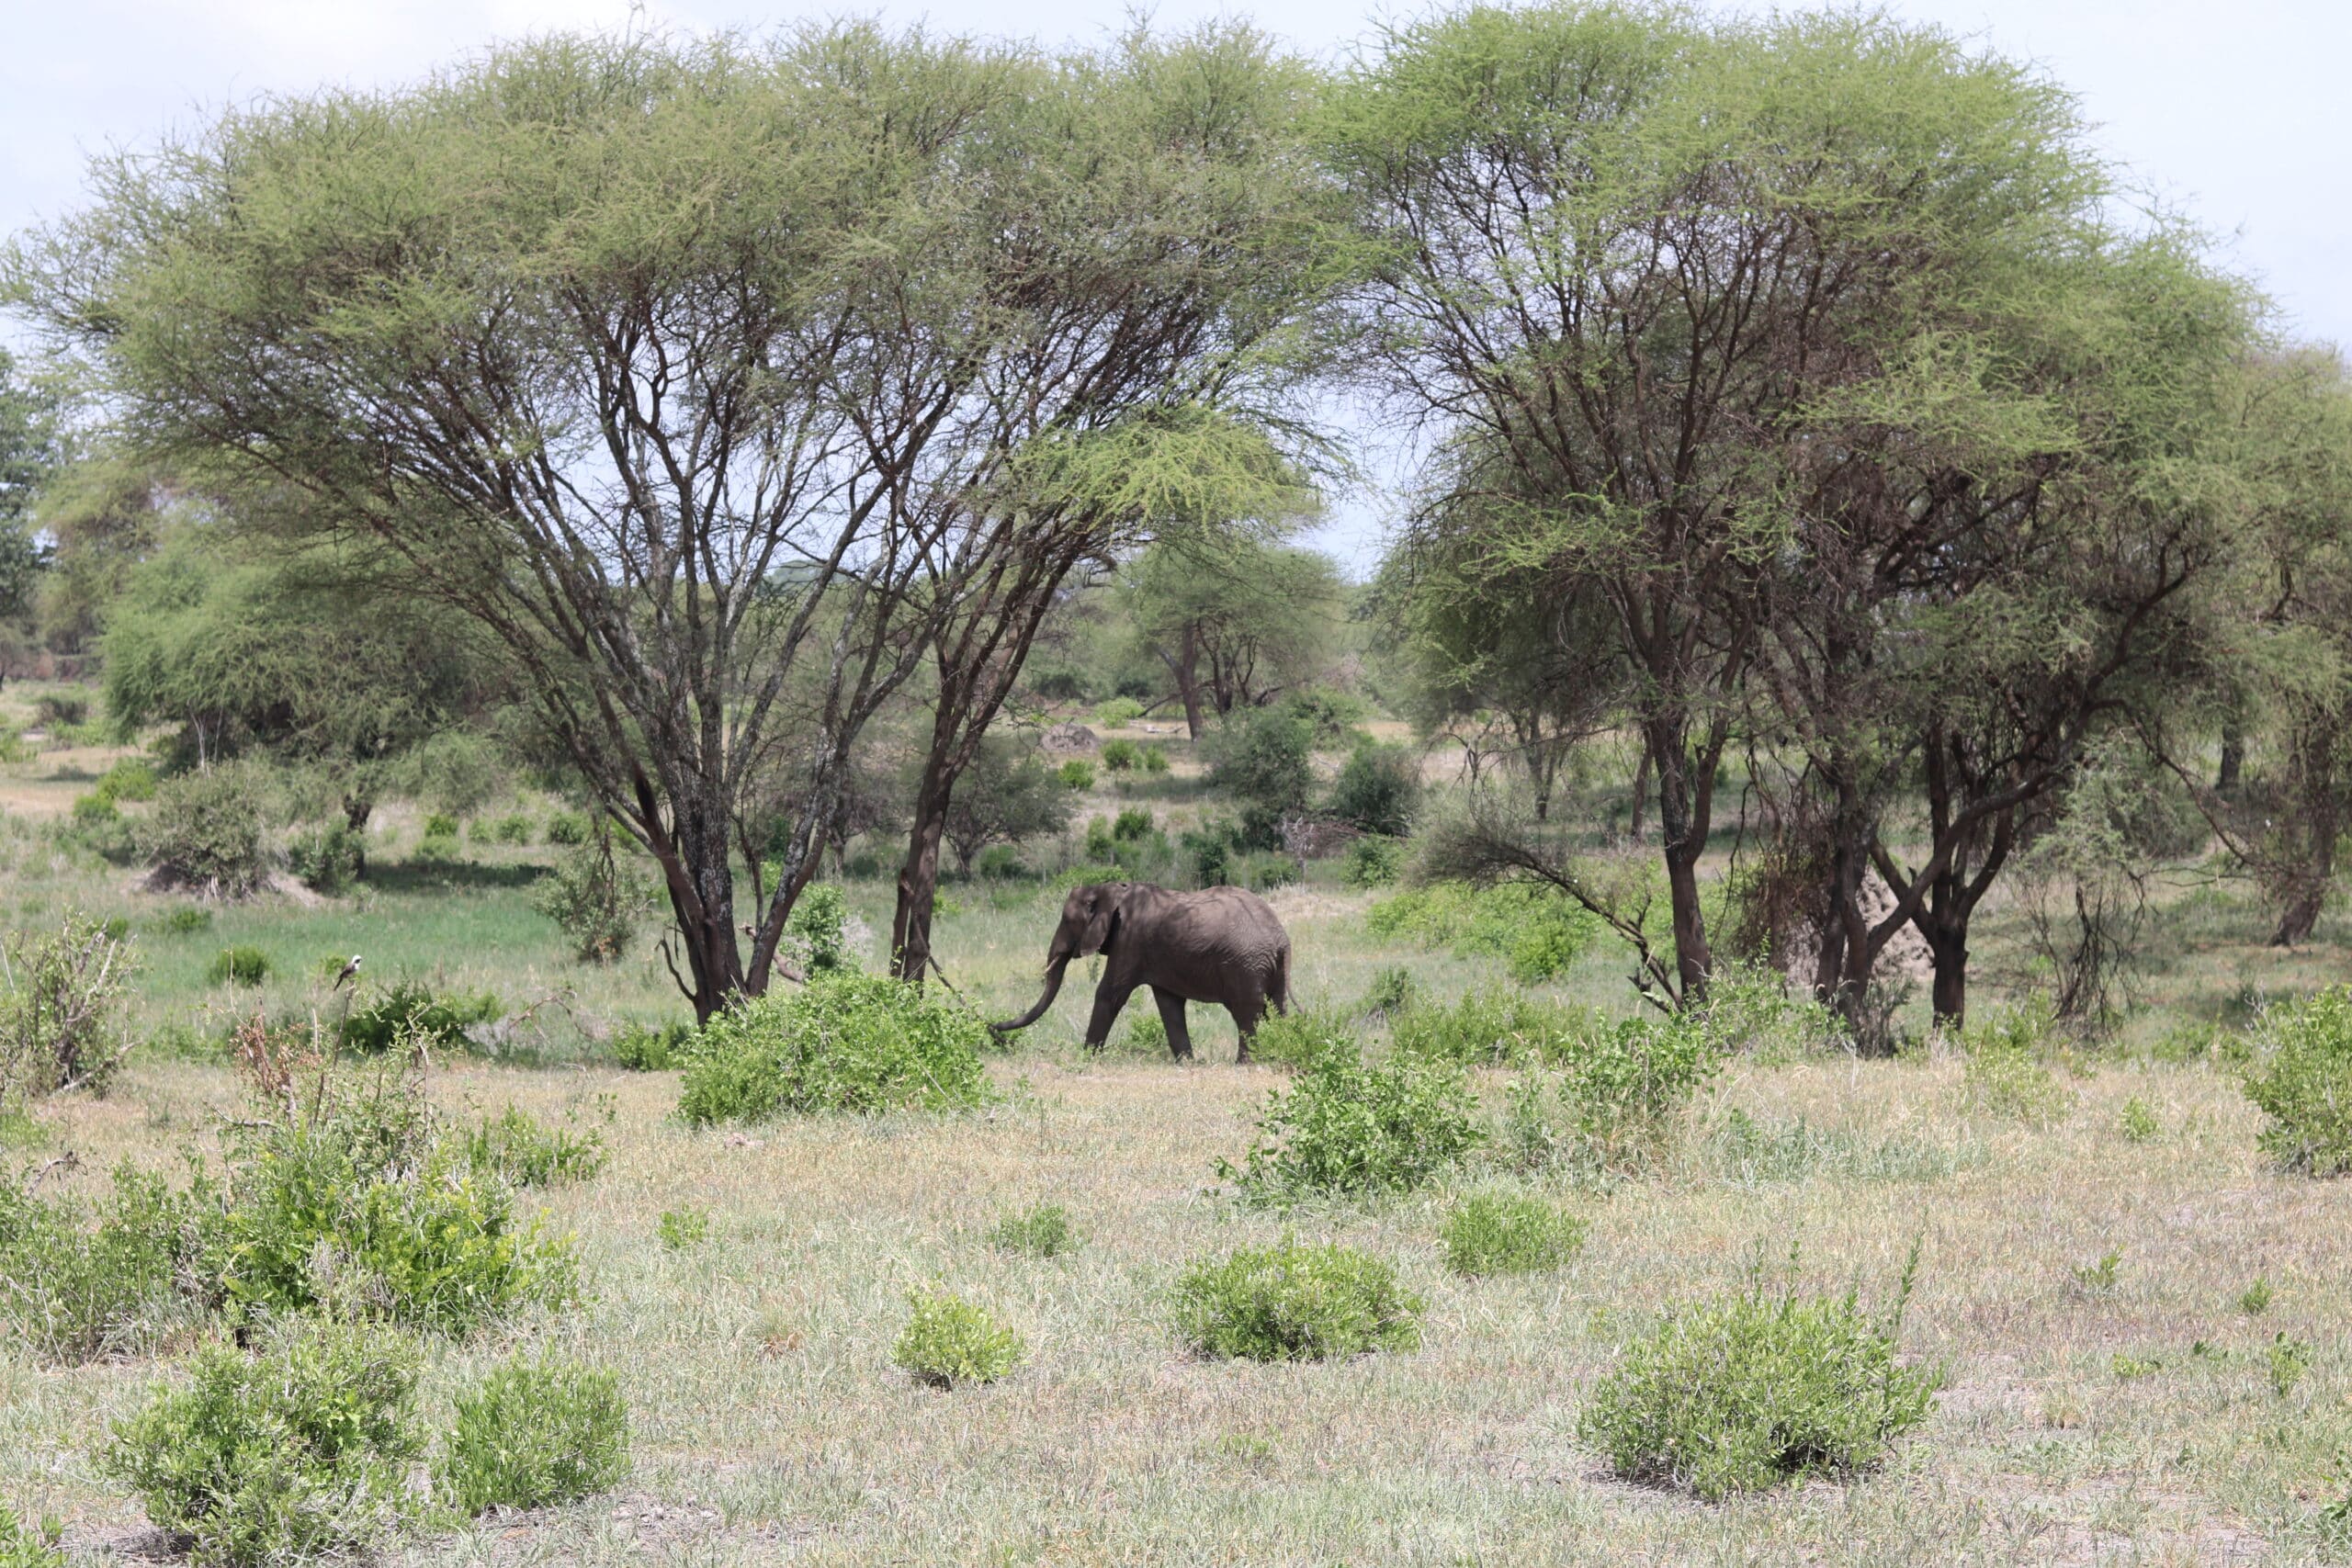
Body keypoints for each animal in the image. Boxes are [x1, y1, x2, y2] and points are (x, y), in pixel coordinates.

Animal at [991, 881, 1291, 1062]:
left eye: (1067, 921)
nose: (992, 1029)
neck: (1111, 889)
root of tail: (1281, 939)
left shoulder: (1129, 939)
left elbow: (1109, 994)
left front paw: (1086, 1058)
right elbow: (1169, 1004)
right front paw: (1187, 1062)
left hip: (1245, 964)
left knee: (1246, 1012)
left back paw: (1244, 1064)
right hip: (1265, 967)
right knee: (1276, 1008)